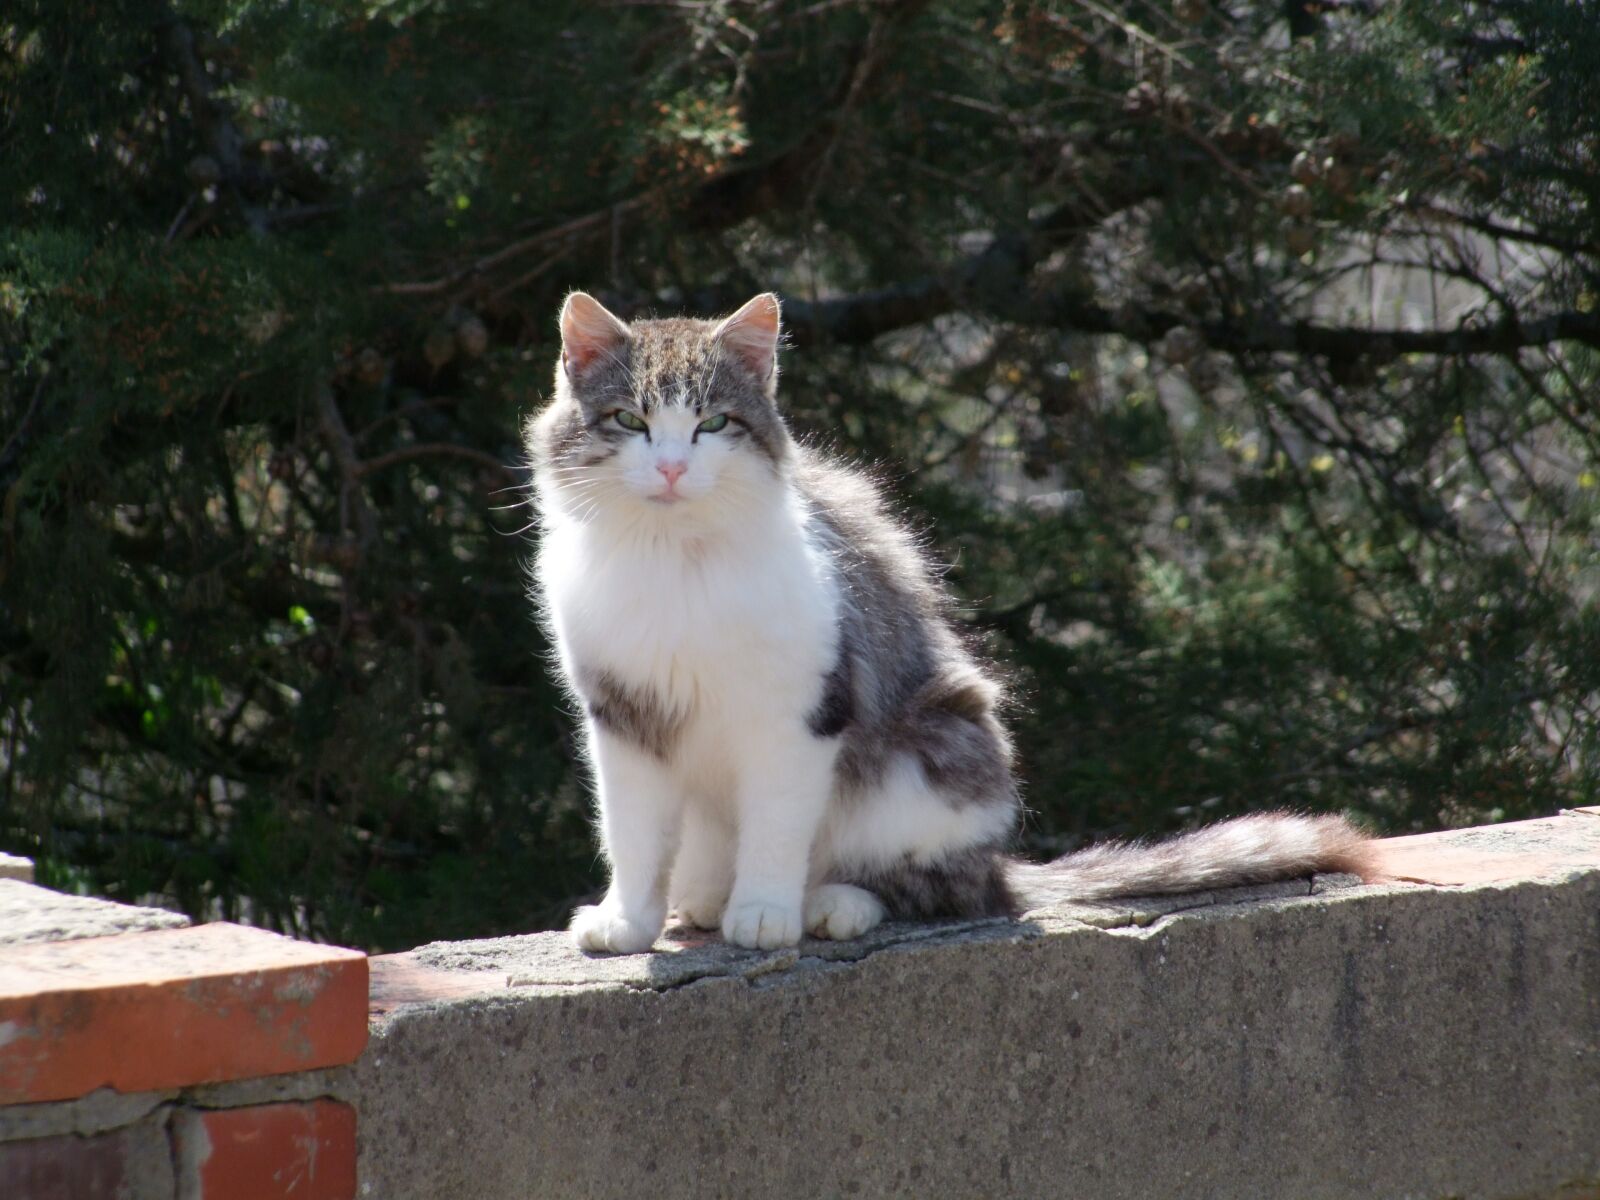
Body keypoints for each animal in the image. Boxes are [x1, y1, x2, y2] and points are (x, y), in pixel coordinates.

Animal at [528, 294, 1376, 960]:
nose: (672, 467)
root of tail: (997, 861)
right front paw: (630, 922)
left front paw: (765, 912)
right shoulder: (622, 715)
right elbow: (633, 833)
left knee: (934, 886)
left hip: (928, 754)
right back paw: (703, 897)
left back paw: (826, 904)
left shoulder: (799, 713)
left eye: (711, 423)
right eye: (630, 419)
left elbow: (776, 826)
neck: (674, 561)